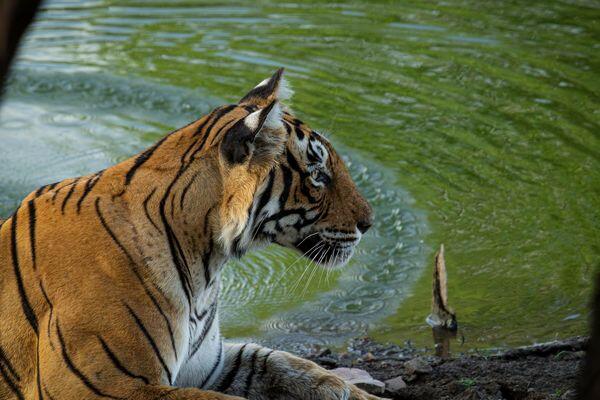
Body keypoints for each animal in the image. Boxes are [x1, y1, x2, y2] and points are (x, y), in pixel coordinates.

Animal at [0, 69, 384, 400]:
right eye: (318, 175)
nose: (369, 221)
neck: (206, 263)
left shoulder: (209, 365)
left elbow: (301, 369)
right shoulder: (95, 387)